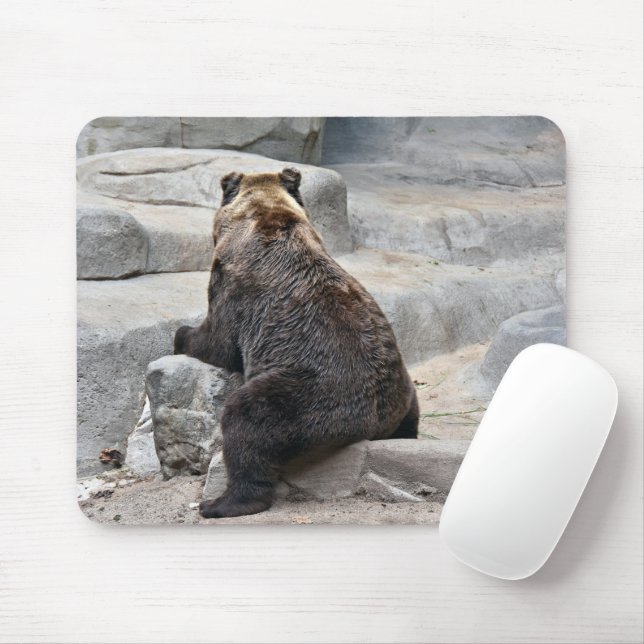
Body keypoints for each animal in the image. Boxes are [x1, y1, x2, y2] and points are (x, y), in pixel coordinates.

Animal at [174, 167, 418, 518]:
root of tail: (373, 424)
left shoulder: (234, 286)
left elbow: (219, 342)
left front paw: (181, 334)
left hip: (312, 393)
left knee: (247, 417)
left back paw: (222, 502)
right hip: (399, 385)